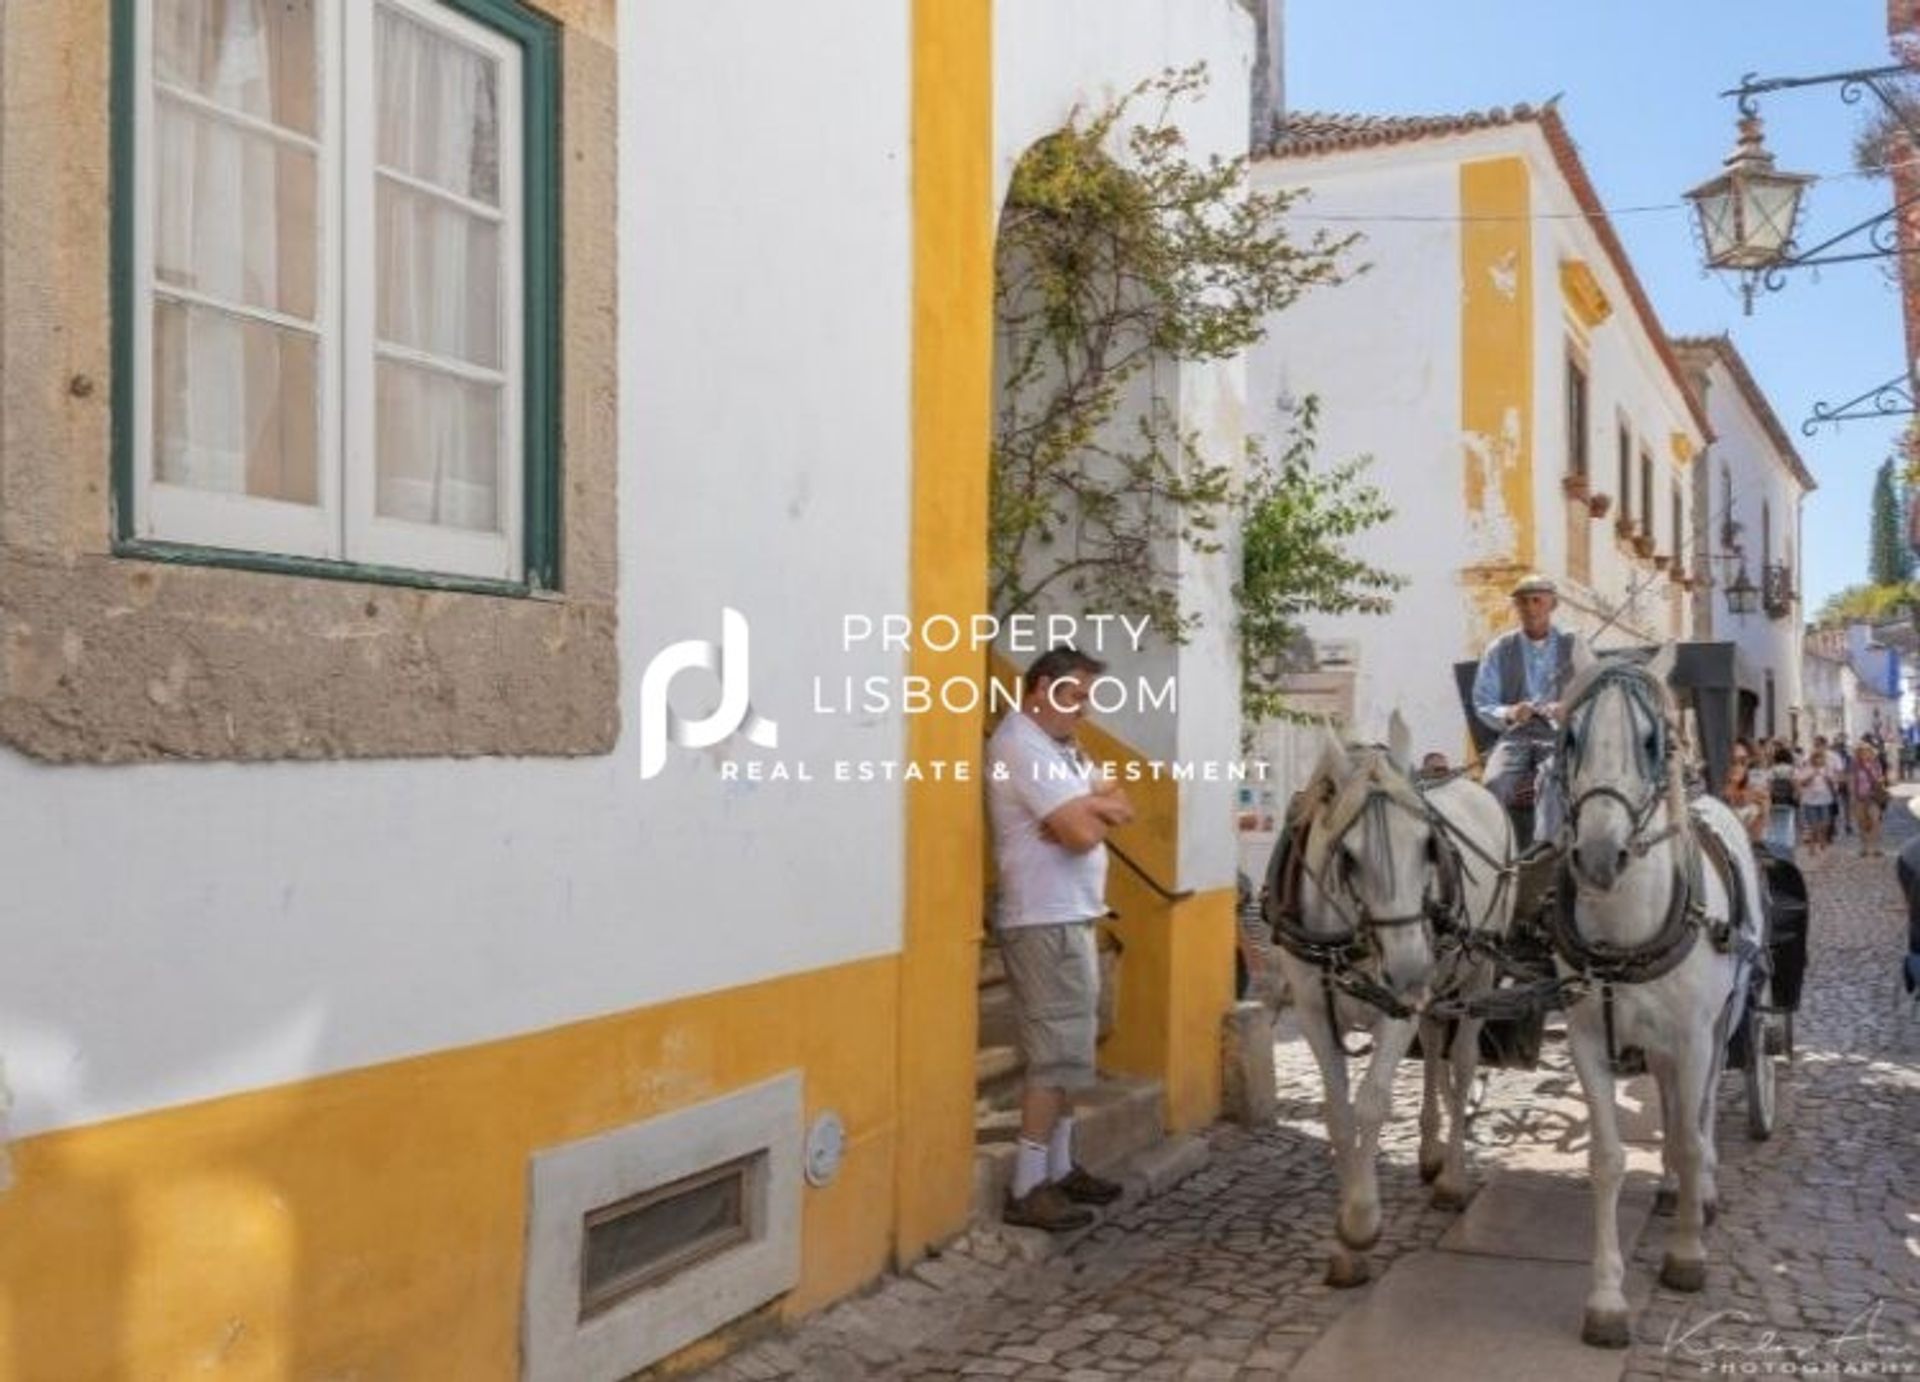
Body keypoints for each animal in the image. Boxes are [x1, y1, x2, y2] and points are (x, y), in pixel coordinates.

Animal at [1267, 717, 1520, 1289]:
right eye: (1348, 857)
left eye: (1429, 846)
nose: (1409, 972)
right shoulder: (1313, 1012)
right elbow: (1338, 1112)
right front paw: (1345, 1240)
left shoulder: (1398, 1009)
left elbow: (1372, 1101)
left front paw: (1363, 1222)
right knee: (1432, 1045)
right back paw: (1428, 1153)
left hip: (1477, 971)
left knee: (1462, 1063)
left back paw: (1452, 1178)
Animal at [1551, 648, 1758, 1351]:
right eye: (1569, 738)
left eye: (1651, 741)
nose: (1598, 856)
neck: (1626, 934)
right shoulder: (1588, 1039)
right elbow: (1608, 1158)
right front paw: (1607, 1298)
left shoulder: (1694, 1037)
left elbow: (1691, 1138)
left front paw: (1687, 1254)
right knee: (1671, 1105)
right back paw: (1671, 1188)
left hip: (1724, 1021)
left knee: (1702, 1108)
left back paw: (1704, 1192)